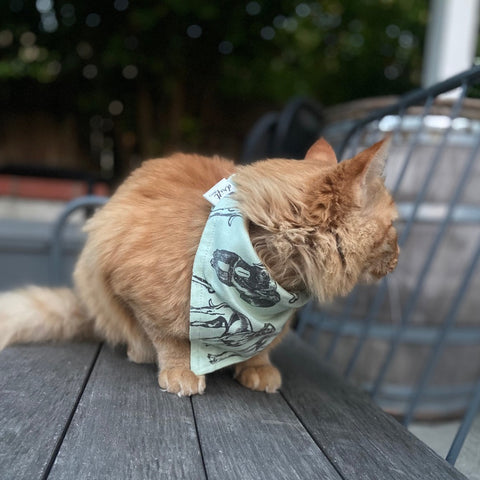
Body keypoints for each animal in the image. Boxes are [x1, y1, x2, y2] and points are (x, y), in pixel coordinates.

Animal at [0, 137, 398, 396]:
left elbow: (263, 347)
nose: (398, 257)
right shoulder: (131, 285)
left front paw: (257, 367)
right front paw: (180, 369)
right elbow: (168, 337)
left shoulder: (274, 325)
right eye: (395, 226)